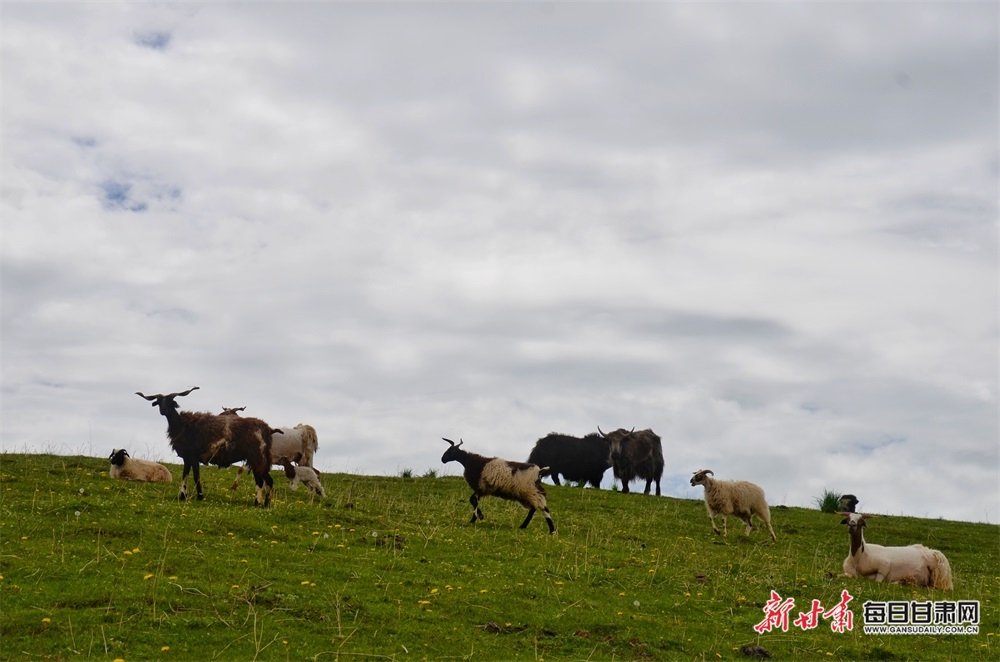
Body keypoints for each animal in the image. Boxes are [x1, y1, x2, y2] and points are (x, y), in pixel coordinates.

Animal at [135, 386, 278, 506]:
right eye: (159, 402)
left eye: (171, 401)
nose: (163, 410)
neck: (182, 425)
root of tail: (267, 429)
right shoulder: (187, 457)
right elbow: (184, 475)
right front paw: (182, 495)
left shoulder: (193, 456)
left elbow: (196, 476)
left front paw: (199, 496)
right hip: (259, 459)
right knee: (265, 480)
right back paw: (265, 504)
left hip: (257, 457)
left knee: (263, 480)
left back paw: (260, 503)